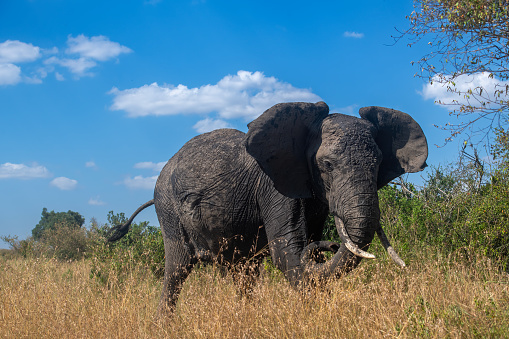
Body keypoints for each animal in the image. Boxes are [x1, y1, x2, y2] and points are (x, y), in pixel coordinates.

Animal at [108, 100, 428, 314]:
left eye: (378, 164)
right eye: (326, 165)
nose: (332, 244)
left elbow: (305, 256)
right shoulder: (275, 188)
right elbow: (288, 254)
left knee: (244, 272)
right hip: (169, 209)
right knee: (176, 270)